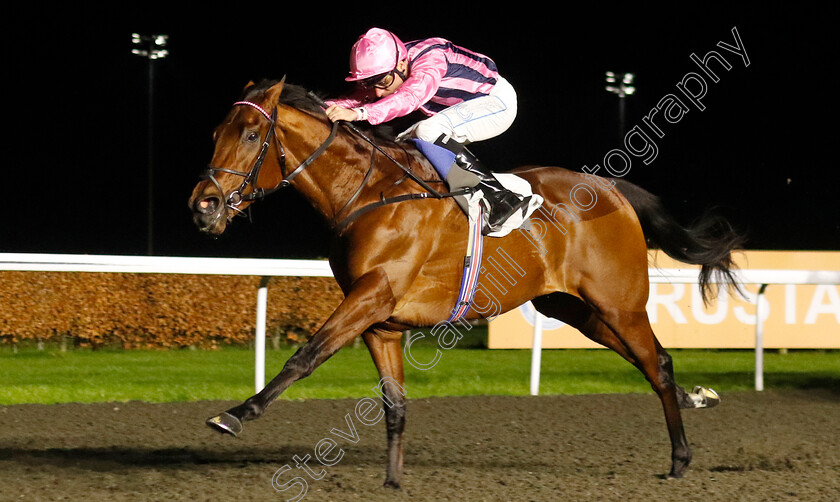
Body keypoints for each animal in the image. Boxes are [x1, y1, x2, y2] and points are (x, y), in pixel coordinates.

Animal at [189, 79, 740, 486]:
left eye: (251, 135)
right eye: (215, 131)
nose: (203, 205)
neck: (367, 193)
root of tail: (612, 189)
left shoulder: (373, 294)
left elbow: (305, 355)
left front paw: (237, 412)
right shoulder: (379, 321)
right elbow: (394, 404)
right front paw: (393, 482)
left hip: (619, 302)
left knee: (656, 363)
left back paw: (681, 459)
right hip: (574, 308)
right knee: (651, 360)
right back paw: (696, 399)